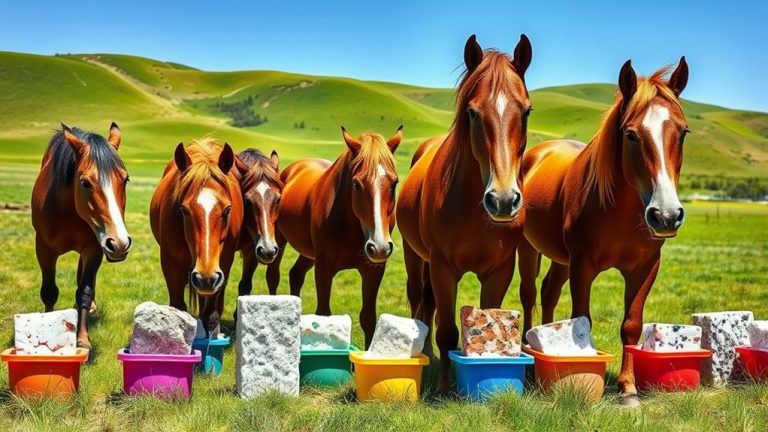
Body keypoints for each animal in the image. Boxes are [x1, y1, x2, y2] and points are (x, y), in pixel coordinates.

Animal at [31, 123, 132, 354]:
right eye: (85, 183)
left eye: (126, 179)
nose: (120, 243)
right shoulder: (43, 248)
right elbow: (49, 292)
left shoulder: (93, 247)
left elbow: (85, 291)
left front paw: (83, 340)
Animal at [149, 138, 243, 332]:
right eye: (184, 210)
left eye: (227, 210)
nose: (205, 277)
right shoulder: (171, 265)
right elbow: (177, 308)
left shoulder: (222, 267)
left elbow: (211, 314)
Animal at [265, 126, 402, 346]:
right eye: (356, 184)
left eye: (395, 182)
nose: (380, 247)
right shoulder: (324, 268)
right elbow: (323, 313)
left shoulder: (373, 270)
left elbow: (368, 318)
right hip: (277, 242)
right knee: (273, 276)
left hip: (309, 254)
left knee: (296, 274)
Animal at [396, 34, 533, 393]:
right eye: (472, 113)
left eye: (526, 112)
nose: (503, 200)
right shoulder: (443, 268)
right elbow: (446, 332)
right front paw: (444, 388)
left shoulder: (499, 271)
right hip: (415, 256)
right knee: (420, 302)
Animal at [517, 58, 689, 406]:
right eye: (631, 135)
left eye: (682, 132)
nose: (666, 215)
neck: (619, 213)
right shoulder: (583, 266)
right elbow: (582, 319)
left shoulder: (645, 268)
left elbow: (631, 325)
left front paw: (628, 388)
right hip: (529, 249)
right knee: (528, 294)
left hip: (562, 259)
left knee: (548, 292)